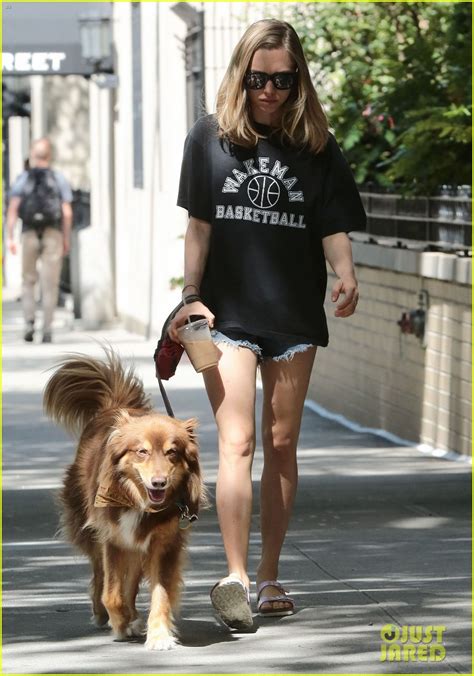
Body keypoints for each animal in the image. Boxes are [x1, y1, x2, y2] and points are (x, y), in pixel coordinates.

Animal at [45, 352, 206, 648]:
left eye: (172, 453)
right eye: (142, 452)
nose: (159, 483)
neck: (139, 502)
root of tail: (115, 405)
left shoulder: (163, 543)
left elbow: (160, 593)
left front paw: (159, 635)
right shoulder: (113, 538)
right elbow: (112, 593)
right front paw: (120, 625)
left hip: (138, 546)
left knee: (130, 582)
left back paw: (133, 618)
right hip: (92, 530)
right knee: (99, 574)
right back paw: (103, 615)